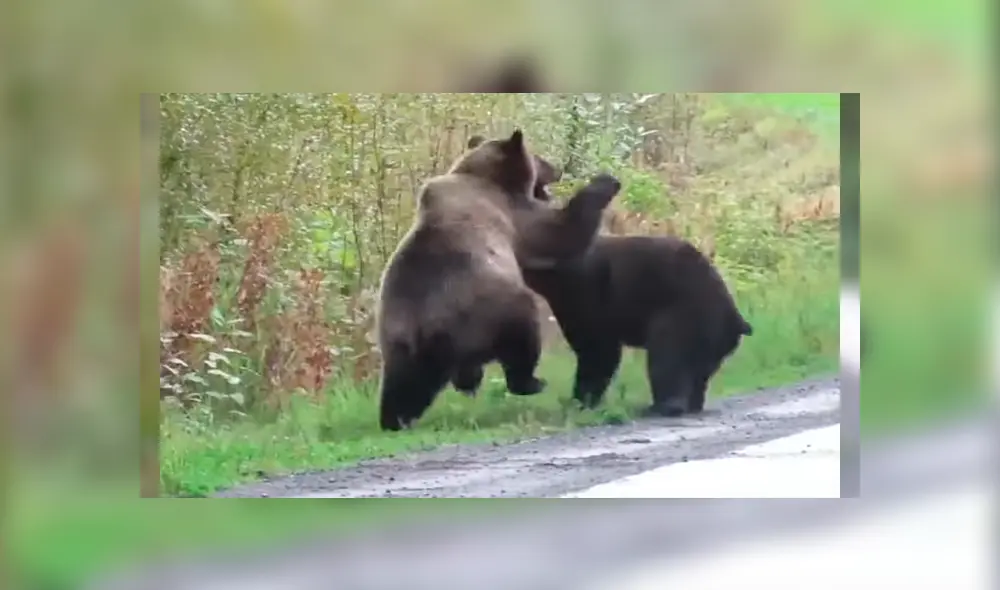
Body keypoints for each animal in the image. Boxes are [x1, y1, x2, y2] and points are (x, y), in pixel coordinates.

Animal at [375, 129, 622, 431]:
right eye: (539, 159)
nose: (558, 169)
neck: (487, 176)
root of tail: (426, 331)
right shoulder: (512, 215)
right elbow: (558, 232)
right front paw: (604, 182)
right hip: (491, 311)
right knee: (522, 337)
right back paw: (531, 381)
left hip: (398, 344)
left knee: (403, 387)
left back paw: (396, 418)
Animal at [521, 233, 753, 418]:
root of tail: (734, 317)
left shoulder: (586, 297)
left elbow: (597, 351)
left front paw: (580, 402)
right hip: (715, 342)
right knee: (699, 371)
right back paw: (691, 404)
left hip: (684, 314)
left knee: (667, 357)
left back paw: (663, 406)